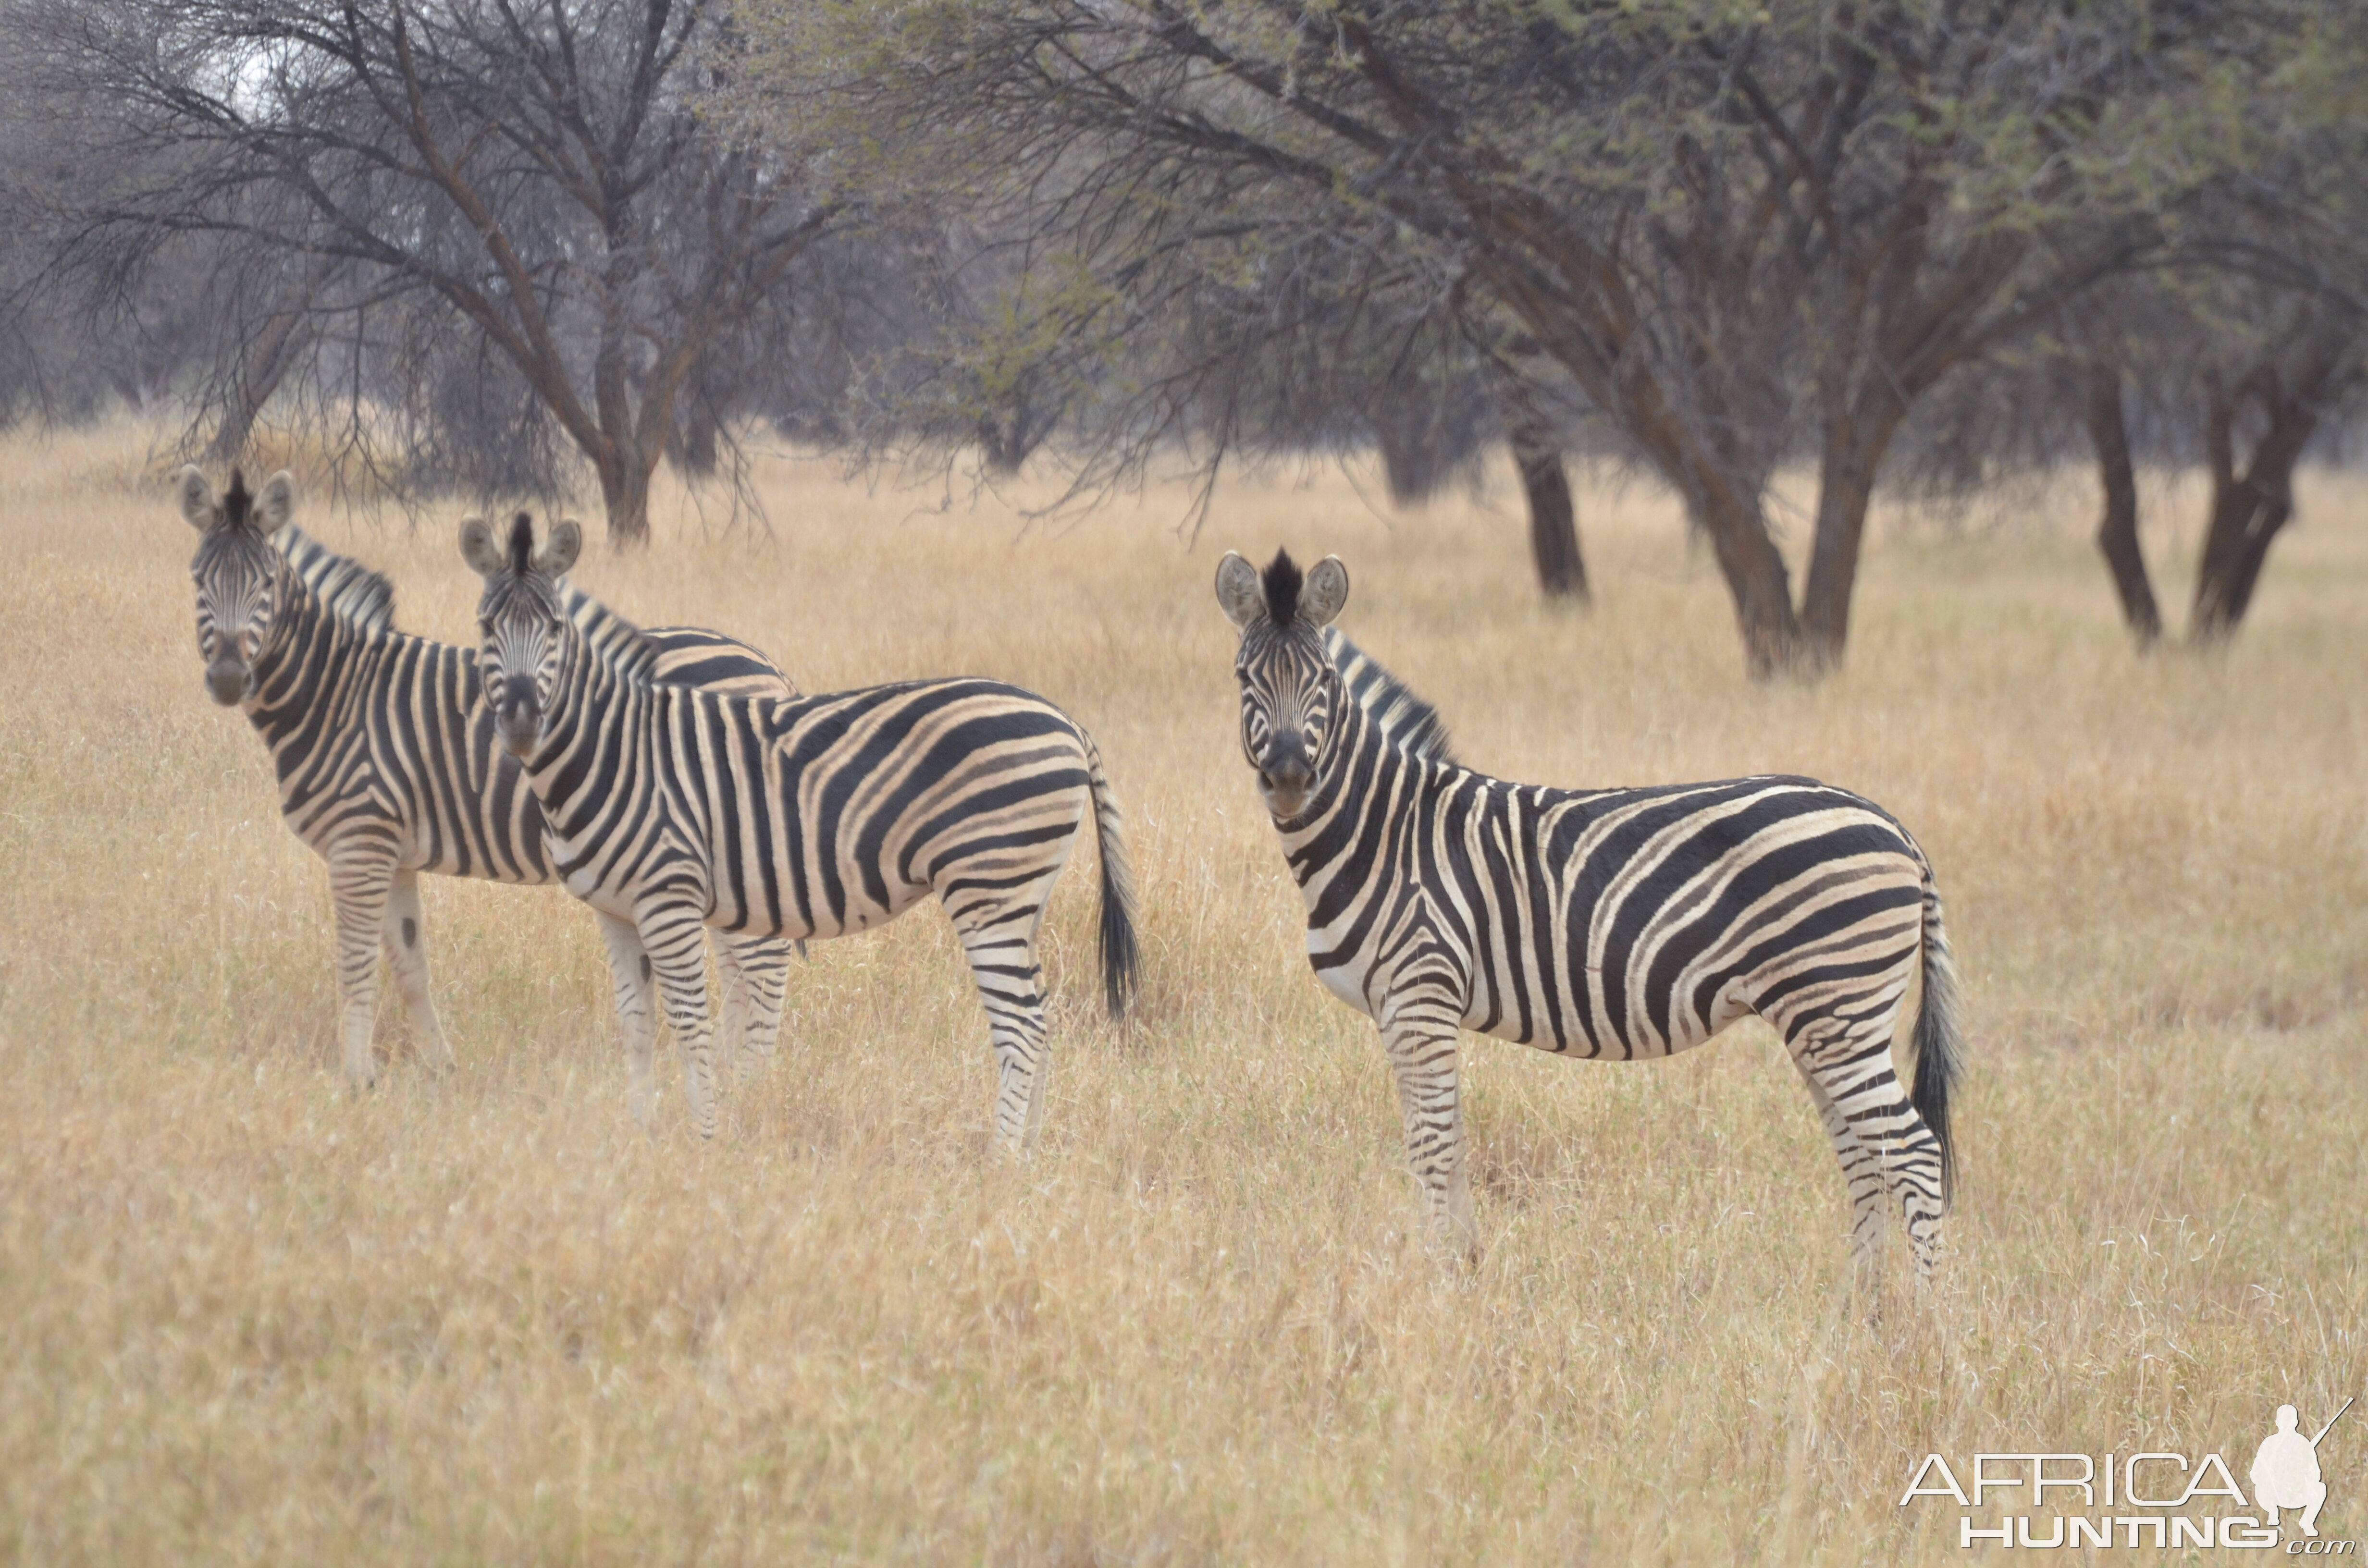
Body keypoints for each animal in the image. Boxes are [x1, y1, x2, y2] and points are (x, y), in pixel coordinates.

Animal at [177, 466, 805, 1103]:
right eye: (199, 580)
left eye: (266, 584)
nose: (227, 678)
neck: (337, 691)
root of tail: (765, 665)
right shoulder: (393, 852)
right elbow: (409, 965)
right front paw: (439, 1069)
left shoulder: (360, 840)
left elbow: (355, 965)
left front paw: (356, 1080)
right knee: (740, 962)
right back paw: (725, 1073)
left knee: (764, 963)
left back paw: (750, 1082)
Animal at [459, 514, 1136, 1141]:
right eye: (485, 627)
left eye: (555, 628)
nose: (520, 723)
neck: (615, 748)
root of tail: (1067, 722)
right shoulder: (615, 910)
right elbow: (635, 1024)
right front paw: (642, 1134)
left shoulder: (668, 899)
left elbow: (689, 1023)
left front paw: (703, 1139)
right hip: (1023, 897)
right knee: (1041, 1020)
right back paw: (1031, 1155)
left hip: (987, 888)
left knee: (1021, 1027)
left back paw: (1000, 1160)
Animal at [1212, 547, 1970, 1288]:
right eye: (1244, 677)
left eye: (1323, 680)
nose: (1289, 778)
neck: (1384, 828)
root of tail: (1896, 829)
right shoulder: (1404, 1011)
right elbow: (1447, 1139)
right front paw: (1466, 1267)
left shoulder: (1420, 993)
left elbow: (1430, 1144)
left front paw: (1438, 1282)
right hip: (1822, 1021)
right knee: (1863, 1153)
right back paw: (1860, 1309)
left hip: (1839, 1008)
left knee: (1913, 1153)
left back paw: (1922, 1317)